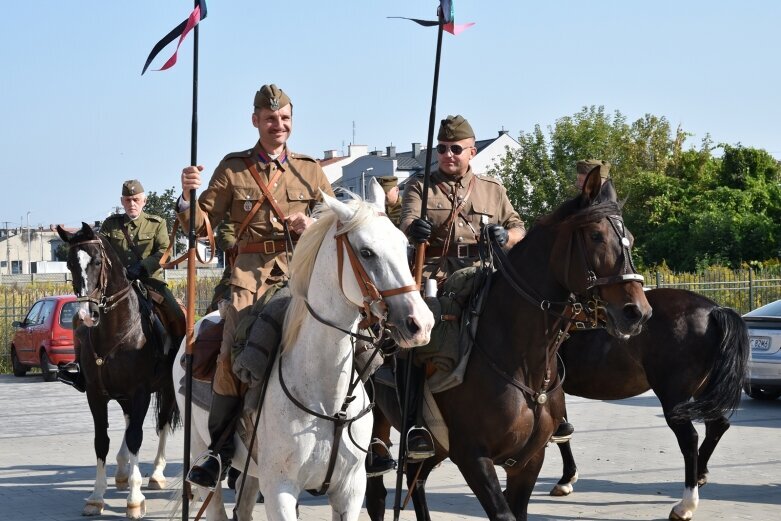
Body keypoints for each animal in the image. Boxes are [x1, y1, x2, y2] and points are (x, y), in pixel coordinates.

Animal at [57, 222, 181, 516]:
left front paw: (135, 499)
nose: (85, 315)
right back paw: (124, 469)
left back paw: (156, 474)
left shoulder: (141, 392)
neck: (114, 329)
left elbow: (136, 436)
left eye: (97, 261)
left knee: (161, 423)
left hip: (167, 388)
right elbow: (102, 440)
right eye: (69, 263)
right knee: (127, 421)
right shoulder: (96, 394)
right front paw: (96, 497)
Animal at [171, 180, 436, 520]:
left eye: (405, 247)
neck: (328, 399)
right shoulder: (280, 489)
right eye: (366, 252)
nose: (421, 324)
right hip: (201, 455)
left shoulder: (350, 491)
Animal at [366, 174, 652, 520]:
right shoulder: (473, 458)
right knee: (377, 488)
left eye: (631, 239)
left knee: (414, 479)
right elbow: (503, 513)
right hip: (379, 420)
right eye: (596, 235)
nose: (637, 312)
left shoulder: (527, 462)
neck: (523, 362)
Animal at [544, 286, 748, 516]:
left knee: (690, 438)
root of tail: (713, 309)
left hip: (673, 397)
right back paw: (700, 475)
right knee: (717, 425)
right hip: (702, 392)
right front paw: (567, 479)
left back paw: (686, 504)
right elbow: (563, 432)